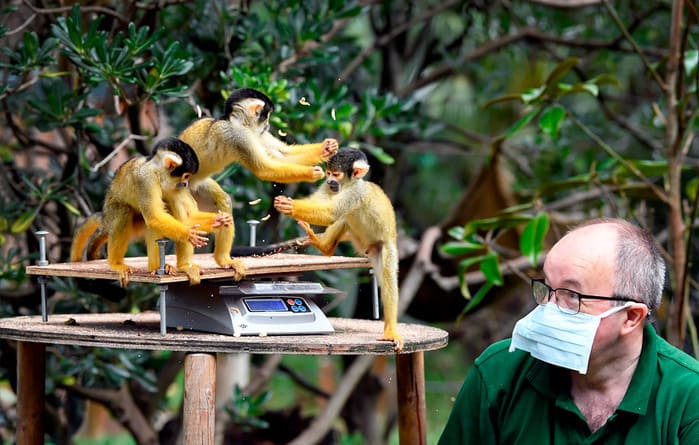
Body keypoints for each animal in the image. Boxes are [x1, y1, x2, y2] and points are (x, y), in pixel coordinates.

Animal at [71, 137, 235, 286]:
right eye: (186, 176)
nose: (186, 184)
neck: (158, 173)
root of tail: (105, 217)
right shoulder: (147, 179)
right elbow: (154, 216)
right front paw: (189, 234)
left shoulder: (173, 187)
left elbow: (187, 217)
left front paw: (217, 220)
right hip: (112, 210)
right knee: (125, 211)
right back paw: (117, 264)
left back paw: (158, 267)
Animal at [176, 87, 338, 278]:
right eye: (266, 116)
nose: (267, 125)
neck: (236, 122)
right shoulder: (240, 137)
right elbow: (264, 169)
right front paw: (311, 173)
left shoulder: (254, 134)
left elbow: (282, 155)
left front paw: (326, 148)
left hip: (197, 188)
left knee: (223, 201)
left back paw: (223, 260)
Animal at [274, 149, 404, 350]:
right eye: (328, 173)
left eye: (336, 174)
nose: (329, 181)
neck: (348, 185)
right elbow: (321, 203)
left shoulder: (356, 193)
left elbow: (330, 213)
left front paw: (290, 206)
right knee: (345, 218)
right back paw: (325, 247)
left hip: (385, 247)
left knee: (388, 276)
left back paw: (390, 331)